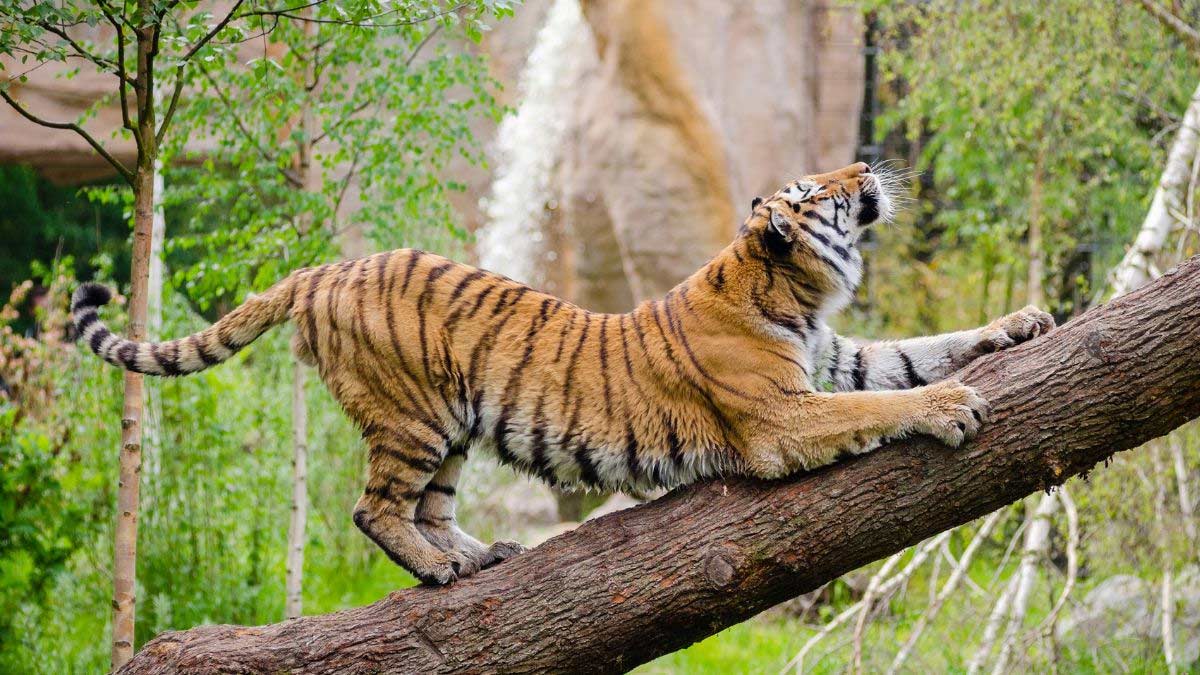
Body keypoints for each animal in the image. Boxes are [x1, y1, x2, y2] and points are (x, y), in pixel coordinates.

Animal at [71, 161, 1055, 585]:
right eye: (820, 191)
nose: (865, 165)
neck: (797, 291)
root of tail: (324, 268)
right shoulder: (781, 416)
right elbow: (897, 395)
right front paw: (954, 406)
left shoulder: (836, 359)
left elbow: (919, 349)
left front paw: (1022, 321)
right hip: (415, 416)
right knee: (373, 507)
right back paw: (438, 571)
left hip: (455, 428)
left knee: (432, 506)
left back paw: (476, 554)